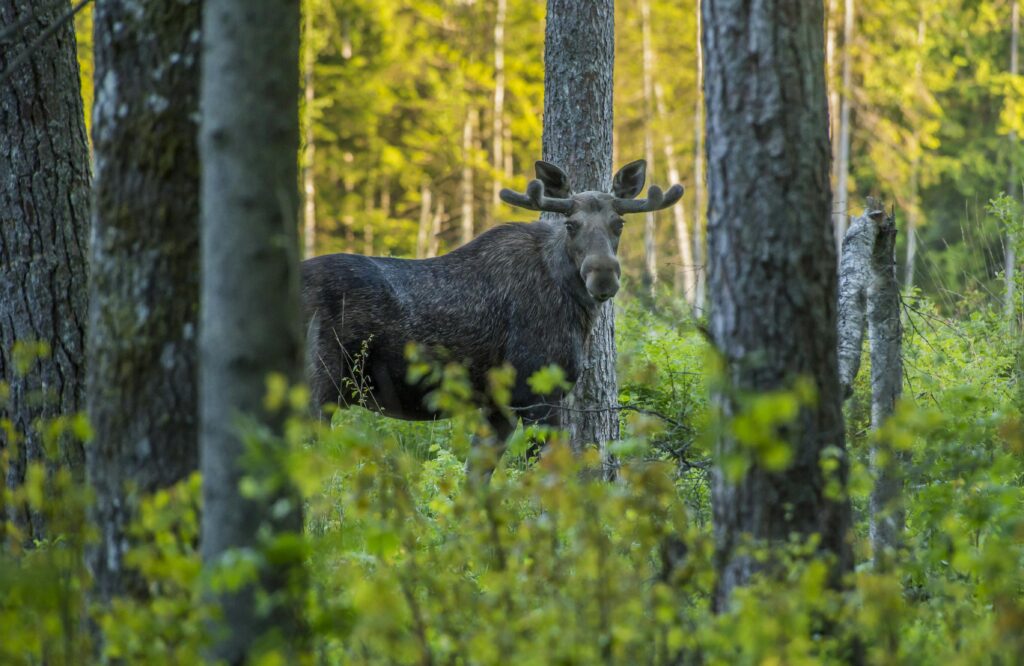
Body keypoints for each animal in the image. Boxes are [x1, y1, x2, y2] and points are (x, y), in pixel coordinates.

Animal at [300, 159, 684, 478]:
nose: (603, 275)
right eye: (571, 225)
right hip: (316, 387)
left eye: (619, 223)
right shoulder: (536, 391)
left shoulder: (498, 405)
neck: (577, 312)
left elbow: (476, 479)